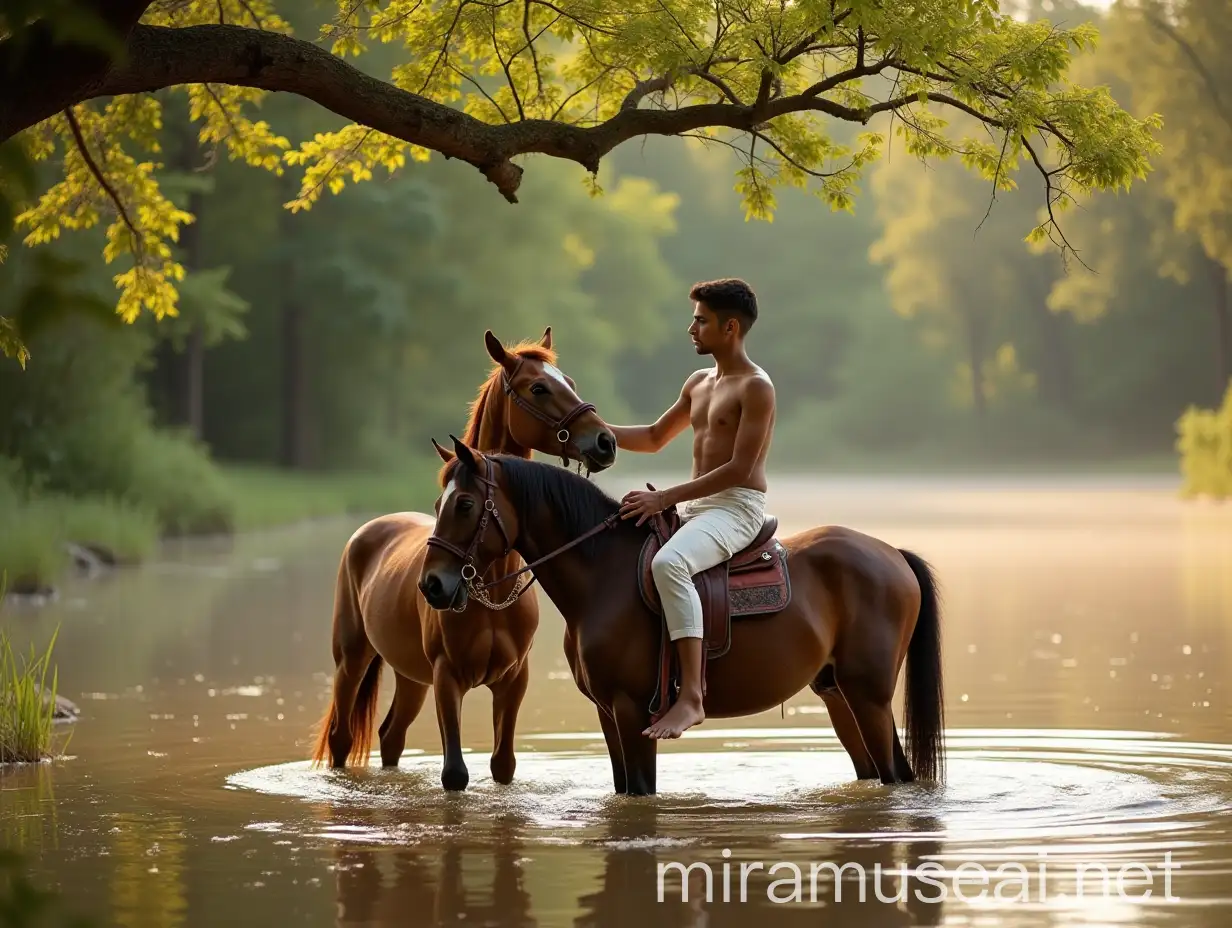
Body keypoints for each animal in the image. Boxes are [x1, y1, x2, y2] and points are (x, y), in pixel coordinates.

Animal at [308, 327, 616, 788]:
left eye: (571, 382)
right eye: (538, 388)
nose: (604, 441)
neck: (491, 587)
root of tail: (369, 531)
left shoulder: (512, 681)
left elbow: (502, 765)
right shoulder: (447, 678)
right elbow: (454, 772)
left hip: (409, 677)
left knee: (391, 736)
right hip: (352, 659)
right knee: (342, 739)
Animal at [418, 443, 946, 798]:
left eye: (465, 504)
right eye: (438, 504)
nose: (432, 585)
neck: (602, 572)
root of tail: (892, 553)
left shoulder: (632, 709)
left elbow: (640, 789)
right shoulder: (607, 712)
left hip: (868, 696)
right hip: (839, 694)